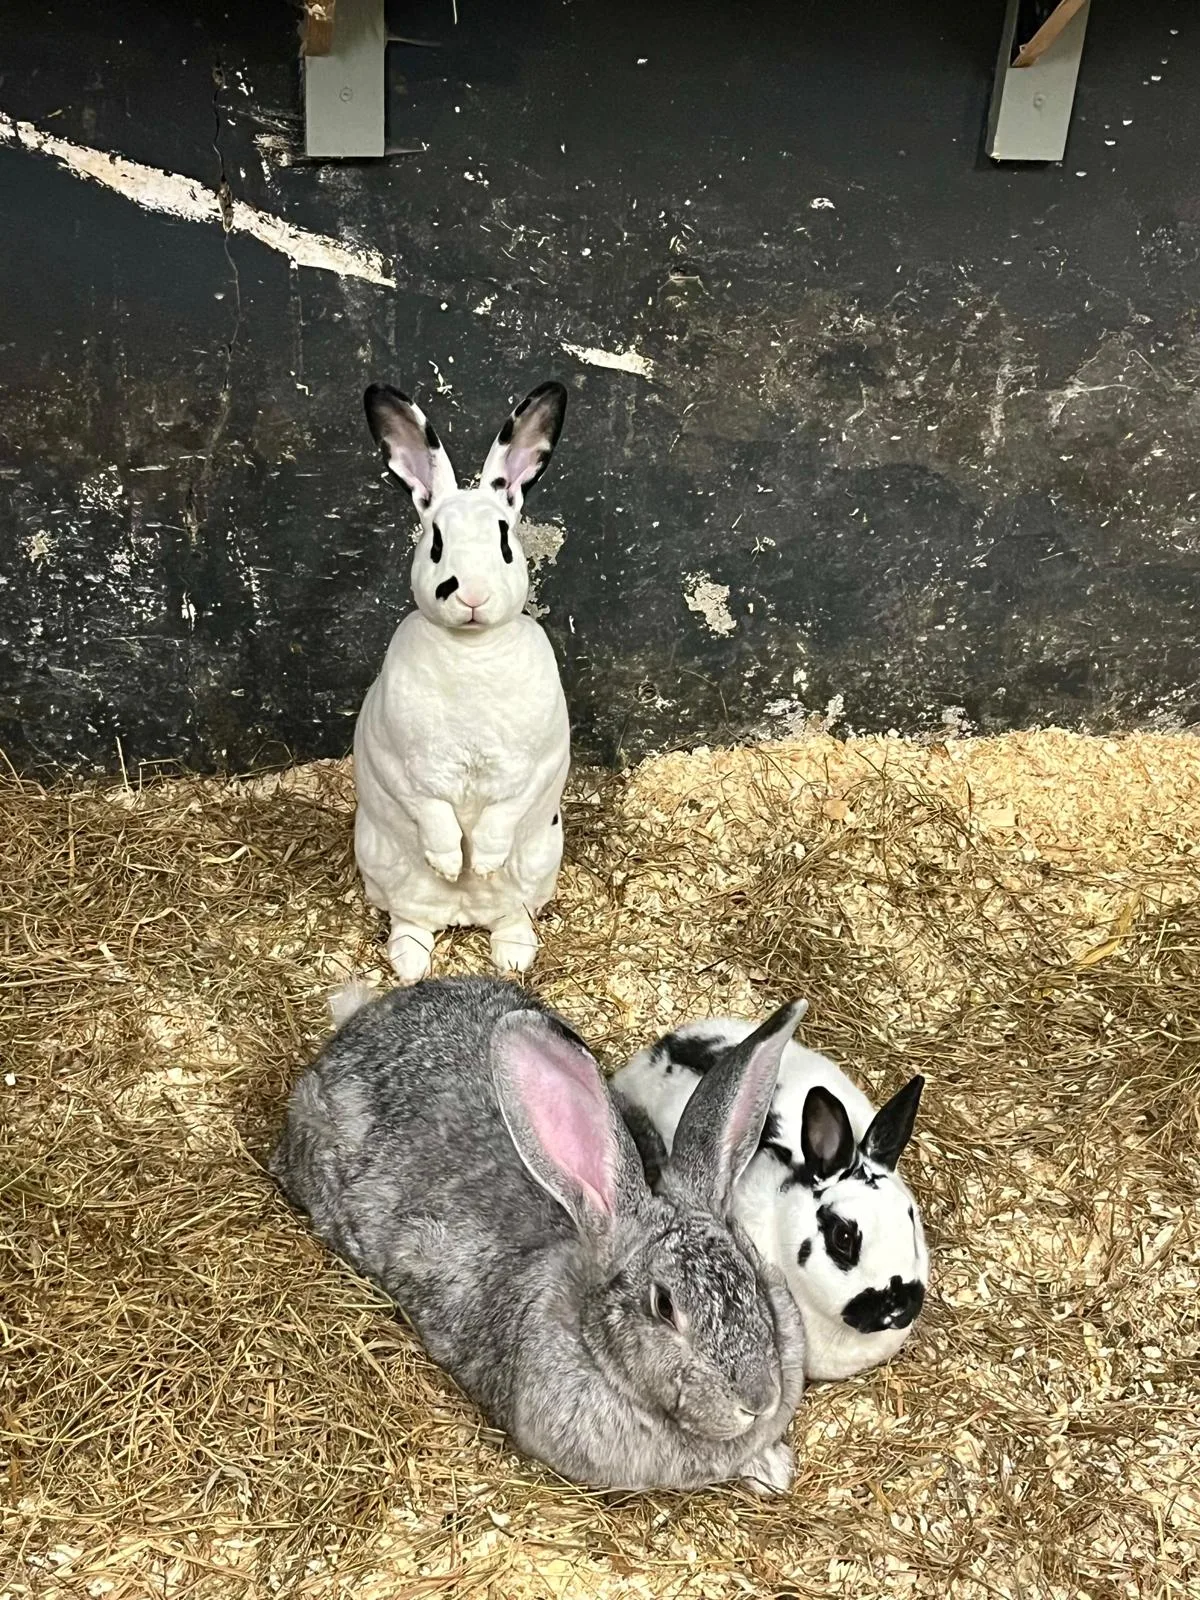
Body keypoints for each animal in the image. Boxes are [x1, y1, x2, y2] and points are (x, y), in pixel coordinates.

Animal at [353, 380, 572, 983]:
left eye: (505, 541)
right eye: (434, 542)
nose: (469, 592)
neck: (472, 651)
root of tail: (463, 915)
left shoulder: (540, 762)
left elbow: (505, 809)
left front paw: (485, 858)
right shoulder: (396, 758)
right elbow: (430, 808)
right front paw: (453, 860)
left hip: (539, 862)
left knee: (513, 914)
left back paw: (513, 953)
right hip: (382, 864)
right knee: (411, 920)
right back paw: (411, 961)